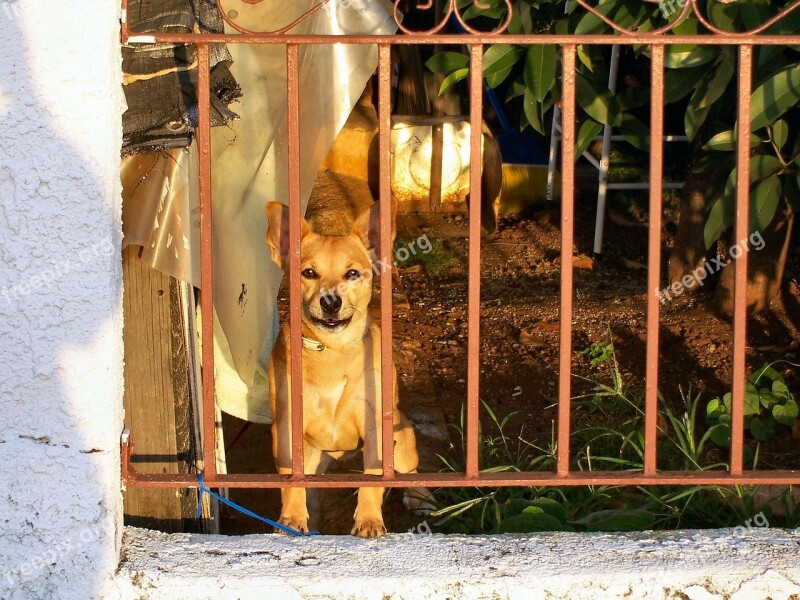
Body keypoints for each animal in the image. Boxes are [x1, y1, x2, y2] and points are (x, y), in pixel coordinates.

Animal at [266, 199, 428, 536]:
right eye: (308, 273)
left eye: (352, 273)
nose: (330, 301)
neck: (332, 350)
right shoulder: (286, 427)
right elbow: (290, 481)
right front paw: (292, 518)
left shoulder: (375, 425)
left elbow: (372, 479)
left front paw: (369, 520)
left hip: (402, 440)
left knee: (411, 468)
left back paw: (421, 497)